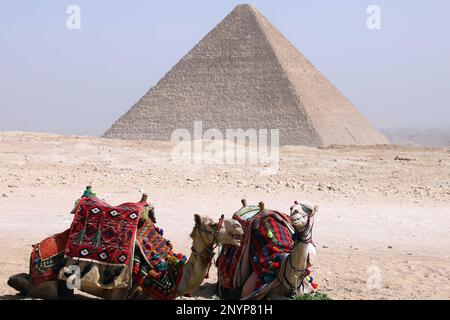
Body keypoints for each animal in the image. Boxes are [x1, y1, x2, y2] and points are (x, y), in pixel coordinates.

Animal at [7, 200, 243, 300]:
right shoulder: (119, 291)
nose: (239, 226)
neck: (170, 275)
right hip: (46, 284)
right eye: (212, 224)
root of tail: (35, 249)